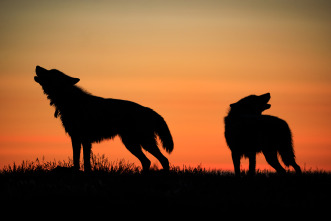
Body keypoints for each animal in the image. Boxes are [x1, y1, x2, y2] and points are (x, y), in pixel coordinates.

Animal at [33, 65, 174, 171]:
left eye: (51, 72)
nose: (37, 66)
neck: (70, 100)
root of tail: (148, 110)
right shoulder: (76, 139)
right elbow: (77, 161)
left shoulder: (84, 139)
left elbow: (85, 162)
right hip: (132, 144)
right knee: (147, 162)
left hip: (143, 143)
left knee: (164, 160)